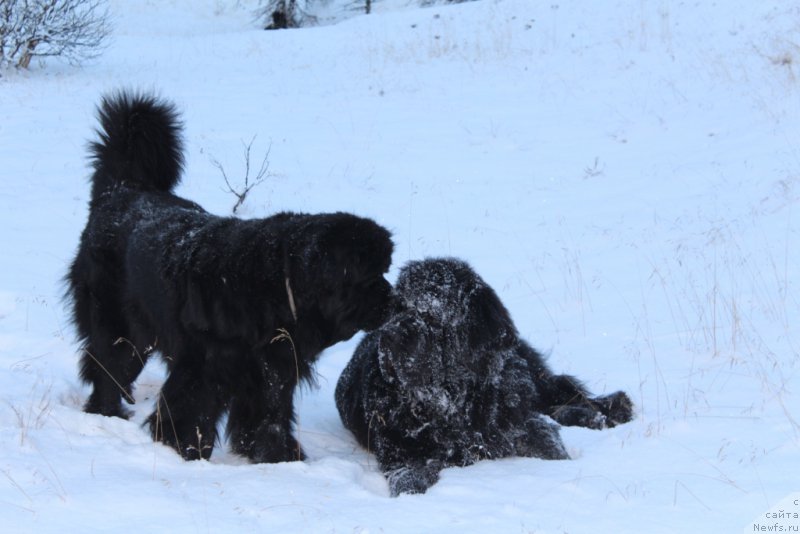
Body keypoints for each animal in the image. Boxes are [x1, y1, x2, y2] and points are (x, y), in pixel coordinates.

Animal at [67, 93, 396, 464]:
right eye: (370, 275)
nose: (394, 298)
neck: (276, 287)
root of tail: (122, 191)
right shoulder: (205, 366)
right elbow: (191, 409)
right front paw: (186, 448)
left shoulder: (274, 369)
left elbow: (270, 416)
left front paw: (278, 456)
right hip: (119, 327)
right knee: (107, 368)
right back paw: (106, 412)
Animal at [334, 258, 636, 496]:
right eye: (397, 308)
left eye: (429, 314)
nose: (388, 335)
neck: (452, 403)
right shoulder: (400, 453)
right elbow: (408, 481)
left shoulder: (519, 425)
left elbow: (546, 442)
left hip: (526, 375)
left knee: (561, 392)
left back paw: (612, 409)